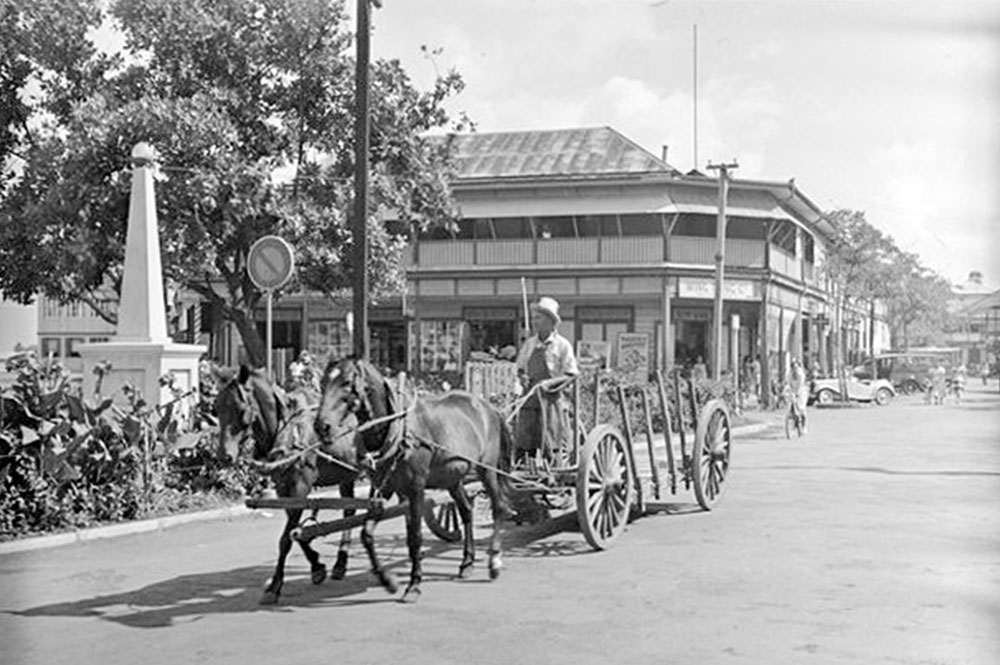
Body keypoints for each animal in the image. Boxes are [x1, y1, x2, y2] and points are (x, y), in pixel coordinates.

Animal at [215, 366, 360, 604]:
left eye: (241, 409)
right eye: (217, 407)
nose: (224, 456)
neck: (288, 430)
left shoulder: (300, 486)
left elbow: (286, 539)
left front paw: (274, 586)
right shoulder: (285, 488)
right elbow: (296, 532)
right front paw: (317, 566)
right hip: (346, 473)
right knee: (350, 511)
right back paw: (341, 563)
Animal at [314, 358, 516, 600]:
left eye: (346, 383)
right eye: (322, 383)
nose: (321, 426)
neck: (398, 430)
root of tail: (488, 406)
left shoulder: (416, 488)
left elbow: (416, 537)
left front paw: (414, 584)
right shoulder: (386, 489)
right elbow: (367, 534)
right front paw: (388, 580)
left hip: (487, 470)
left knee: (499, 507)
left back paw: (494, 561)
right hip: (452, 477)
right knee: (466, 511)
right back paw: (467, 562)